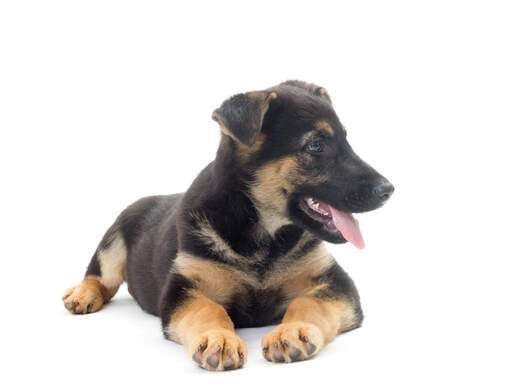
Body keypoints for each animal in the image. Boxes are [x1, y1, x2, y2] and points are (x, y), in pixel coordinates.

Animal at [62, 80, 394, 370]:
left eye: (346, 140)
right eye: (315, 145)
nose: (388, 190)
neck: (264, 236)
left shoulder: (336, 284)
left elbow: (308, 303)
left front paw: (292, 331)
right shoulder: (185, 290)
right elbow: (209, 310)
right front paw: (219, 339)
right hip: (113, 240)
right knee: (101, 277)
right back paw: (82, 294)